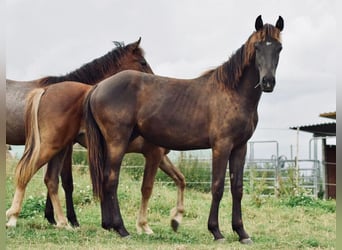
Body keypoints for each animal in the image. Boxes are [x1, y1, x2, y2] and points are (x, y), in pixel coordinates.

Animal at [85, 15, 284, 242]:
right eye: (258, 47)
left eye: (279, 48)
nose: (267, 82)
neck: (232, 92)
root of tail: (98, 87)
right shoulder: (221, 146)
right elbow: (217, 187)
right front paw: (216, 231)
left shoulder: (239, 147)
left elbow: (237, 188)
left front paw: (242, 232)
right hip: (117, 142)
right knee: (111, 179)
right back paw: (122, 229)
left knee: (104, 179)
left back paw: (109, 225)